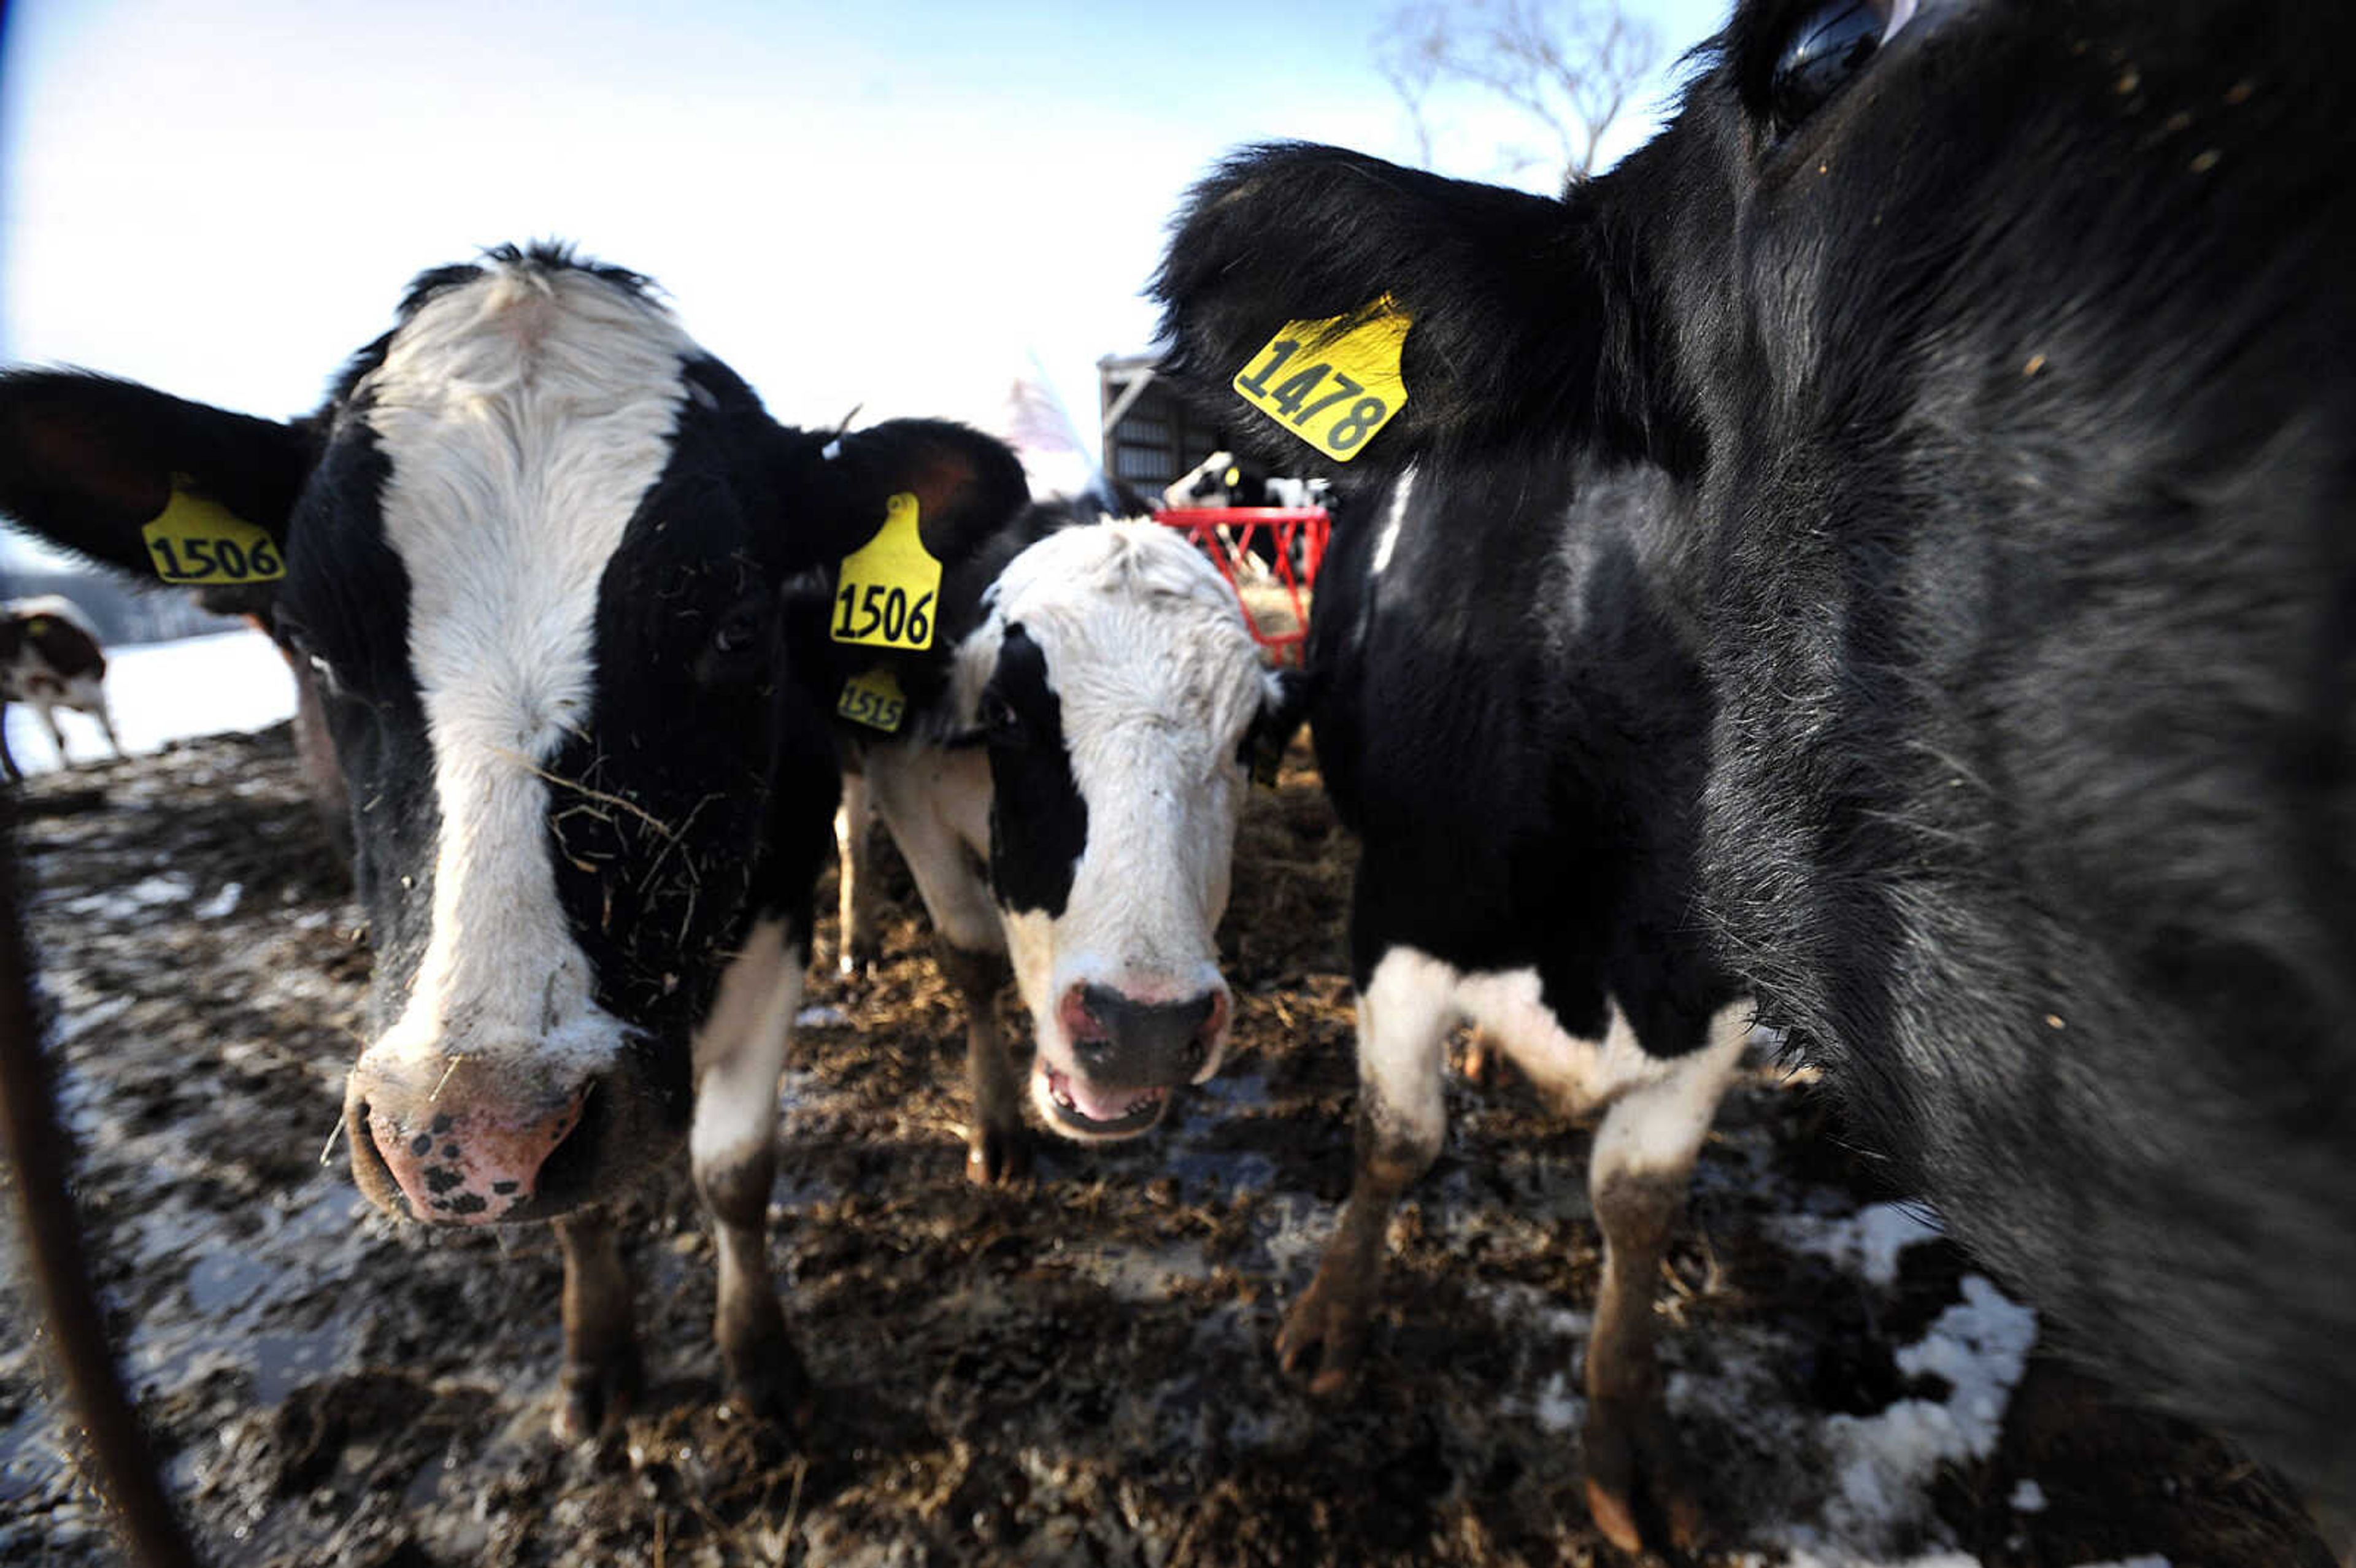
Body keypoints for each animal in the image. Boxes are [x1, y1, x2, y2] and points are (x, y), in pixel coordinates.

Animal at [0, 593, 119, 777]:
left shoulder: (94, 688)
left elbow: (110, 732)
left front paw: (123, 756)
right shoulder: (36, 694)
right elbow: (59, 738)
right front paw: (68, 769)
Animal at [834, 506, 1310, 1177]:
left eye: (1248, 735)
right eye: (1004, 713)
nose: (1146, 1030)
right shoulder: (907, 792)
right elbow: (973, 955)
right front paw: (994, 1125)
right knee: (851, 827)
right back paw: (858, 937)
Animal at [1154, 0, 2356, 1535]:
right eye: (1826, 45)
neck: (1615, 923)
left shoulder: (1717, 1004)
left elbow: (1638, 1204)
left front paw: (1625, 1448)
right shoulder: (1405, 918)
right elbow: (1398, 1140)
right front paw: (1330, 1326)